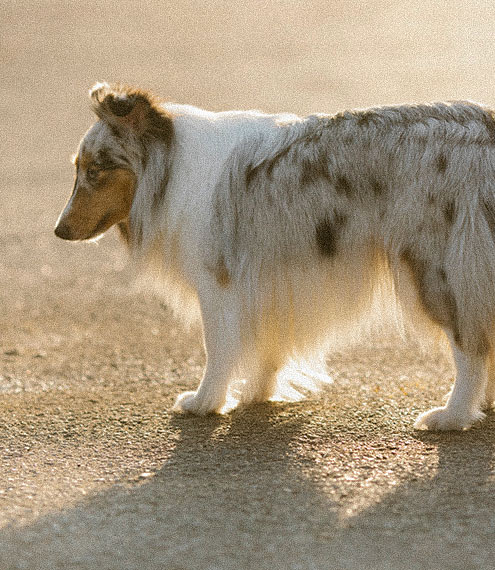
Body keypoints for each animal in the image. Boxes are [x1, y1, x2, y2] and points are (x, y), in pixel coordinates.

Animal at [55, 79, 495, 426]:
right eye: (78, 168)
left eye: (95, 170)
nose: (59, 231)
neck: (172, 165)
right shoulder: (270, 279)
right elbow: (269, 346)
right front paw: (258, 393)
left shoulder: (218, 282)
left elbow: (217, 347)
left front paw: (205, 402)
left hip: (438, 266)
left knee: (470, 345)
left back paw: (452, 415)